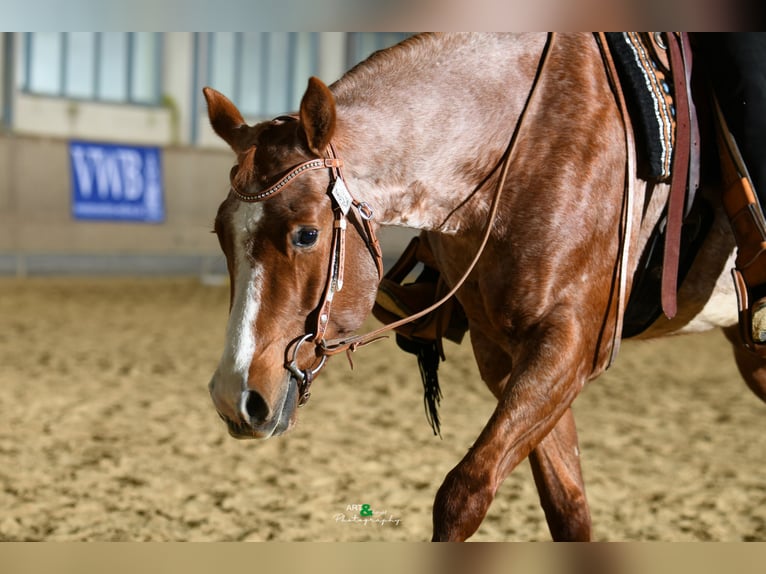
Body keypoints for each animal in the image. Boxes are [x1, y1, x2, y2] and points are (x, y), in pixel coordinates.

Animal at [204, 33, 766, 544]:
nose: (236, 398)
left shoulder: (571, 345)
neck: (527, 139)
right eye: (221, 233)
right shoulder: (502, 352)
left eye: (307, 234)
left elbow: (465, 492)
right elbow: (567, 506)